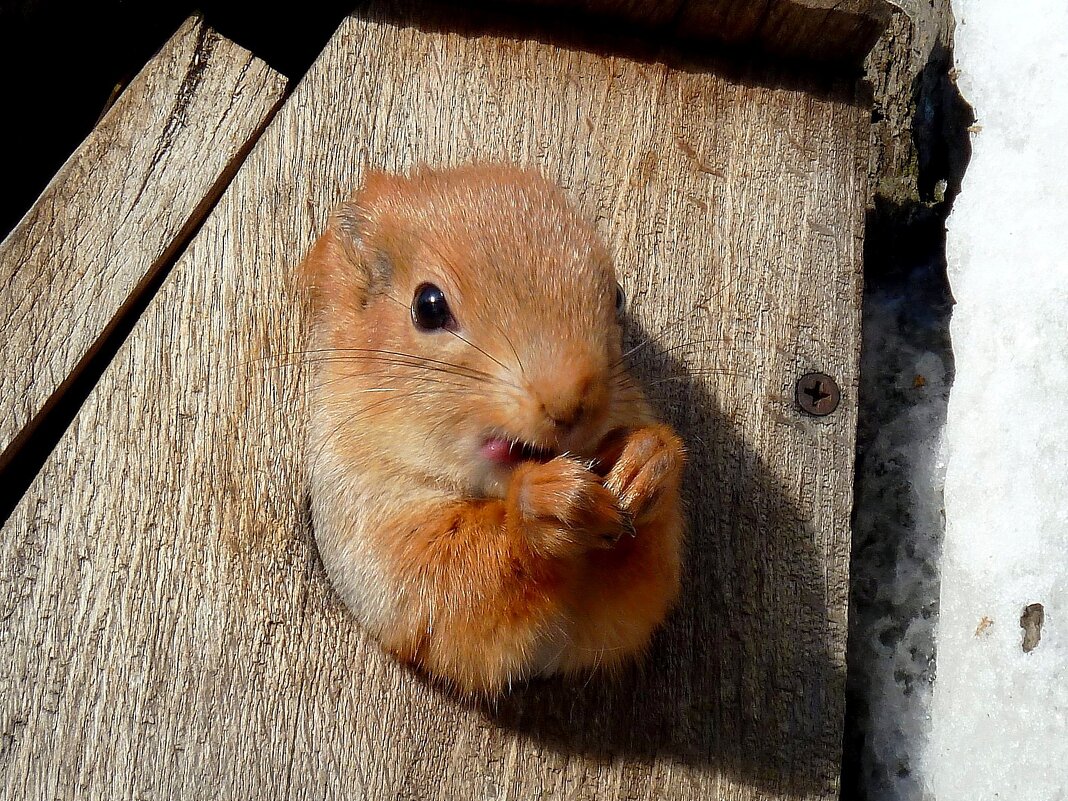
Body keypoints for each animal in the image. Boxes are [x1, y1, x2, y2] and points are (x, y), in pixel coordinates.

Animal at [301, 164, 683, 696]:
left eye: (618, 297)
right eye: (428, 306)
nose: (570, 404)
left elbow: (639, 591)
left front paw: (645, 461)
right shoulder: (358, 508)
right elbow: (444, 586)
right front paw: (544, 507)